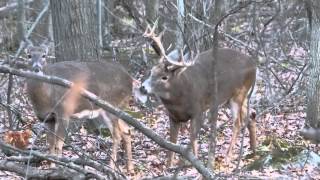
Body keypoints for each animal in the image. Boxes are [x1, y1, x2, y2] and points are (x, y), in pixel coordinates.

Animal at [138, 25, 258, 166]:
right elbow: (172, 142)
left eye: (164, 77)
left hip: (238, 94)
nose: (143, 87)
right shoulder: (173, 116)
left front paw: (194, 162)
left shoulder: (198, 111)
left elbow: (192, 139)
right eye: (151, 71)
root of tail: (254, 65)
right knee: (251, 115)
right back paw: (253, 150)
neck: (178, 101)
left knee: (238, 123)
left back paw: (228, 157)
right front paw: (168, 166)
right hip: (235, 98)